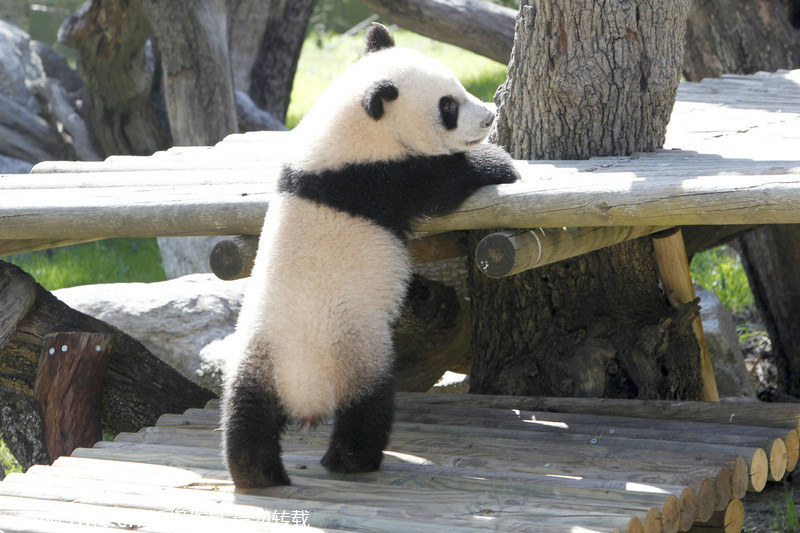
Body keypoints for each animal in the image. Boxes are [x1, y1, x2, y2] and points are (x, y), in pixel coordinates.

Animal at [221, 23, 520, 488]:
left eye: (458, 85)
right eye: (448, 106)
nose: (488, 117)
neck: (353, 129)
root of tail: (302, 394)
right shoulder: (379, 178)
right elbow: (446, 182)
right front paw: (500, 162)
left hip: (256, 358)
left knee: (246, 415)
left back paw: (256, 473)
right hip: (355, 351)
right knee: (368, 409)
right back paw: (350, 460)